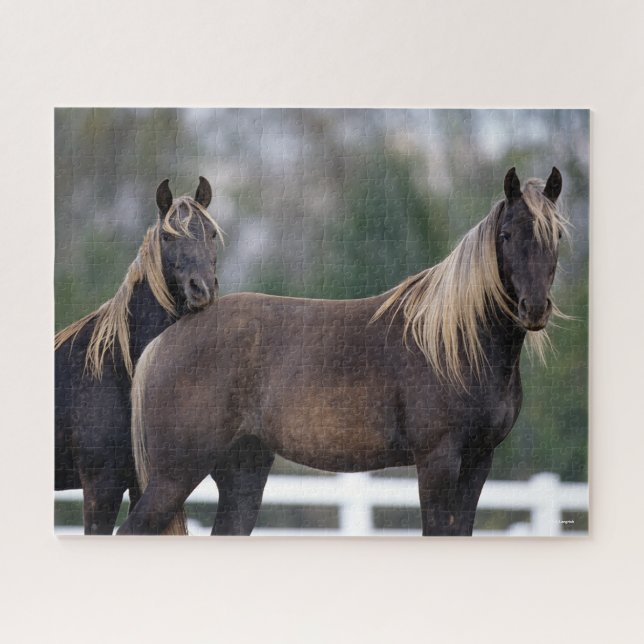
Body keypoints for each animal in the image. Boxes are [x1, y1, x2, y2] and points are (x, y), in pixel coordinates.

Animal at [55, 177, 223, 535]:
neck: (118, 369)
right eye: (167, 236)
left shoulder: (139, 485)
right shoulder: (100, 489)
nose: (201, 288)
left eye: (212, 233)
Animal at [118, 167, 567, 537]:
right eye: (506, 235)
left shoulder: (479, 461)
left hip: (241, 472)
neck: (453, 342)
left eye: (557, 236)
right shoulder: (437, 461)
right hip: (175, 476)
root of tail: (165, 341)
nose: (534, 308)